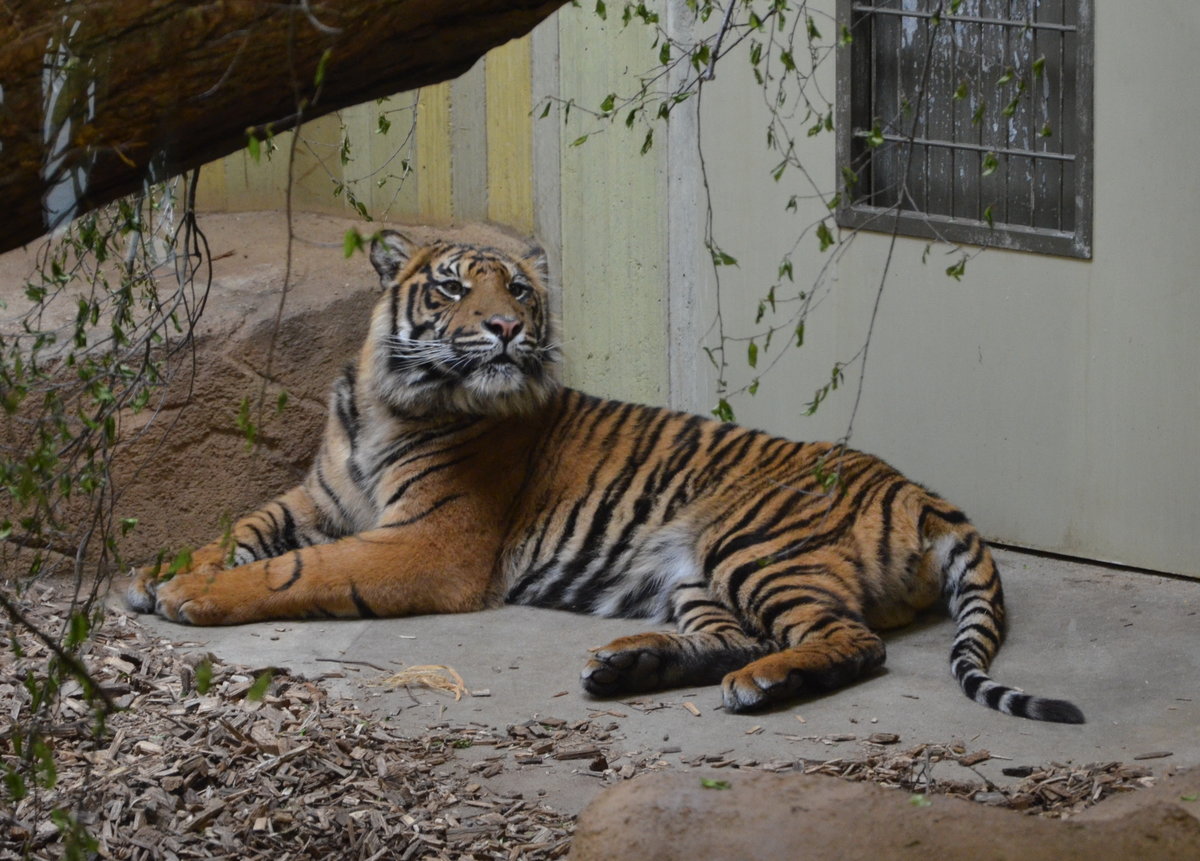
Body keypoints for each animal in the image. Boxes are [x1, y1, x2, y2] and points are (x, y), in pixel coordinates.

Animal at [129, 229, 1089, 719]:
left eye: (517, 290)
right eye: (451, 289)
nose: (507, 330)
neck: (384, 397)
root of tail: (927, 494)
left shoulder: (432, 542)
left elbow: (300, 569)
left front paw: (194, 596)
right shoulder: (321, 494)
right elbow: (247, 526)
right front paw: (154, 571)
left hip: (749, 540)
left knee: (850, 641)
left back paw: (763, 686)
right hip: (696, 571)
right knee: (742, 636)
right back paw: (629, 668)